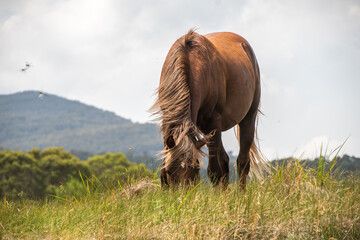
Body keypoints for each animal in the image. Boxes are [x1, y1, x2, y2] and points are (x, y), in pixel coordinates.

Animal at [150, 29, 268, 188]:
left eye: (195, 171)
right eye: (170, 172)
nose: (183, 194)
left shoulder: (213, 122)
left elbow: (214, 171)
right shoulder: (168, 121)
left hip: (247, 118)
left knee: (242, 162)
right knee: (225, 160)